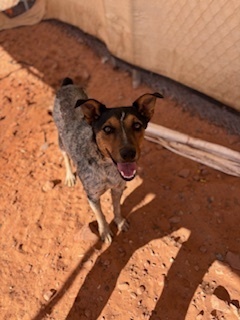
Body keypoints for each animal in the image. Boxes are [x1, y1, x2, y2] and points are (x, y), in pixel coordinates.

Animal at [53, 77, 163, 242]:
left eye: (137, 125)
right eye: (107, 129)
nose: (129, 153)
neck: (107, 167)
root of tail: (67, 85)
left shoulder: (118, 188)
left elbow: (117, 208)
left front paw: (120, 222)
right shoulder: (92, 196)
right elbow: (100, 215)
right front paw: (104, 232)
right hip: (61, 139)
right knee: (65, 155)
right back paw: (70, 176)